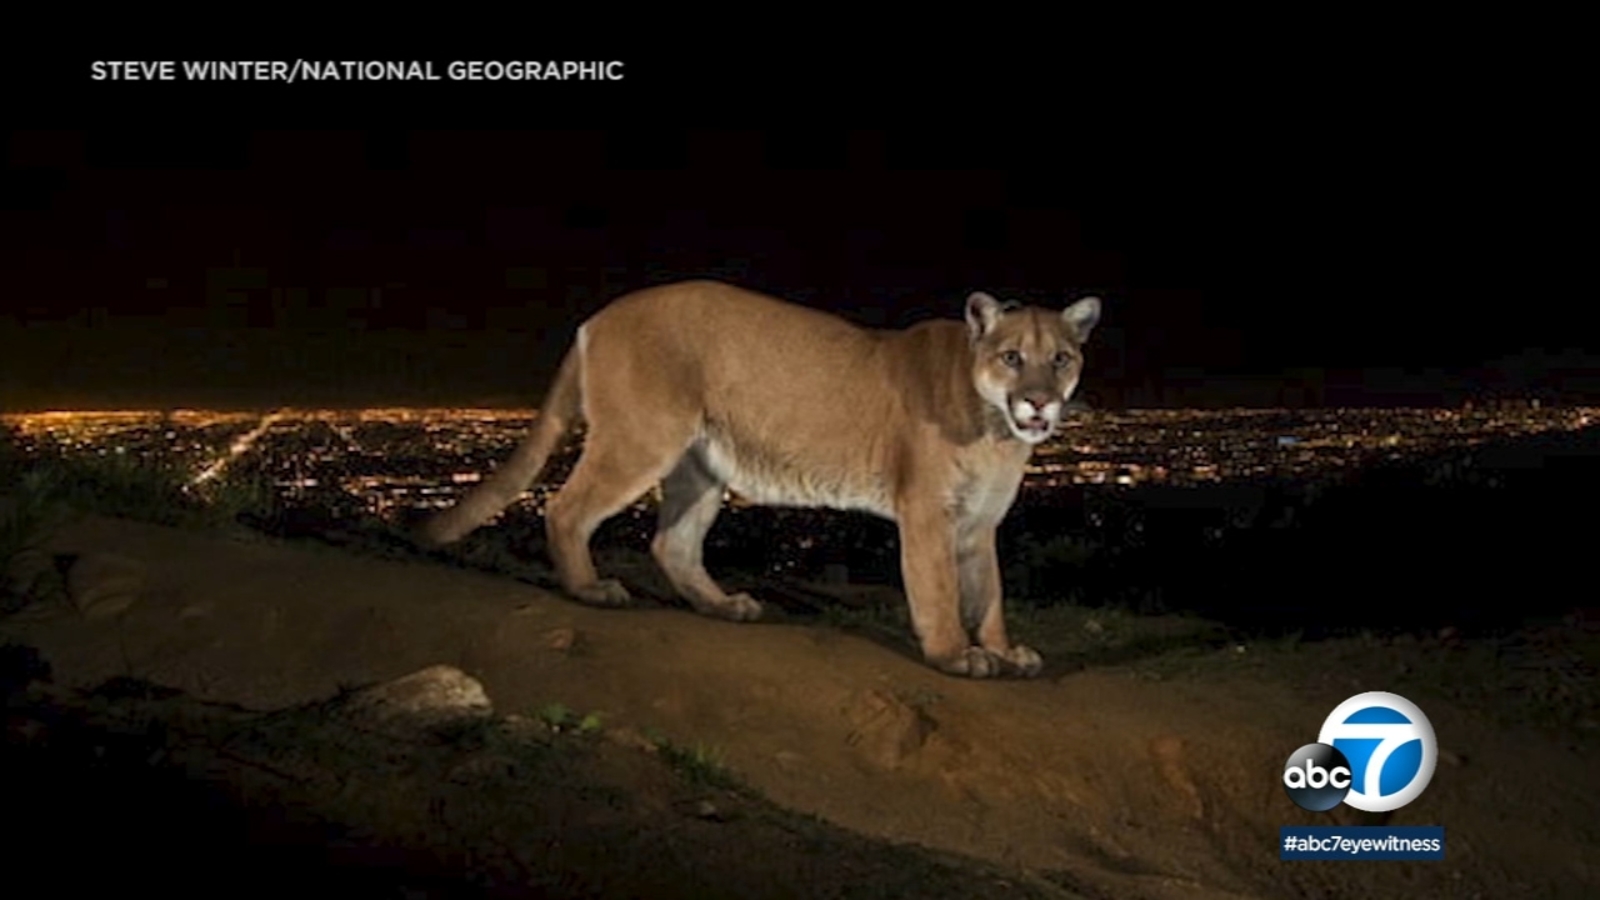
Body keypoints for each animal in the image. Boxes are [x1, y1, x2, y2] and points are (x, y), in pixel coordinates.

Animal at [419, 280, 1100, 672]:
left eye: (1061, 359)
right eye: (1012, 357)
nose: (1039, 403)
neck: (996, 431)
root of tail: (598, 316)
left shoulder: (979, 522)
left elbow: (989, 593)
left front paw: (1004, 650)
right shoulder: (928, 511)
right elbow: (938, 590)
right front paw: (955, 655)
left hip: (701, 465)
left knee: (671, 543)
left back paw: (723, 606)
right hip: (643, 439)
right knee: (565, 508)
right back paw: (590, 589)